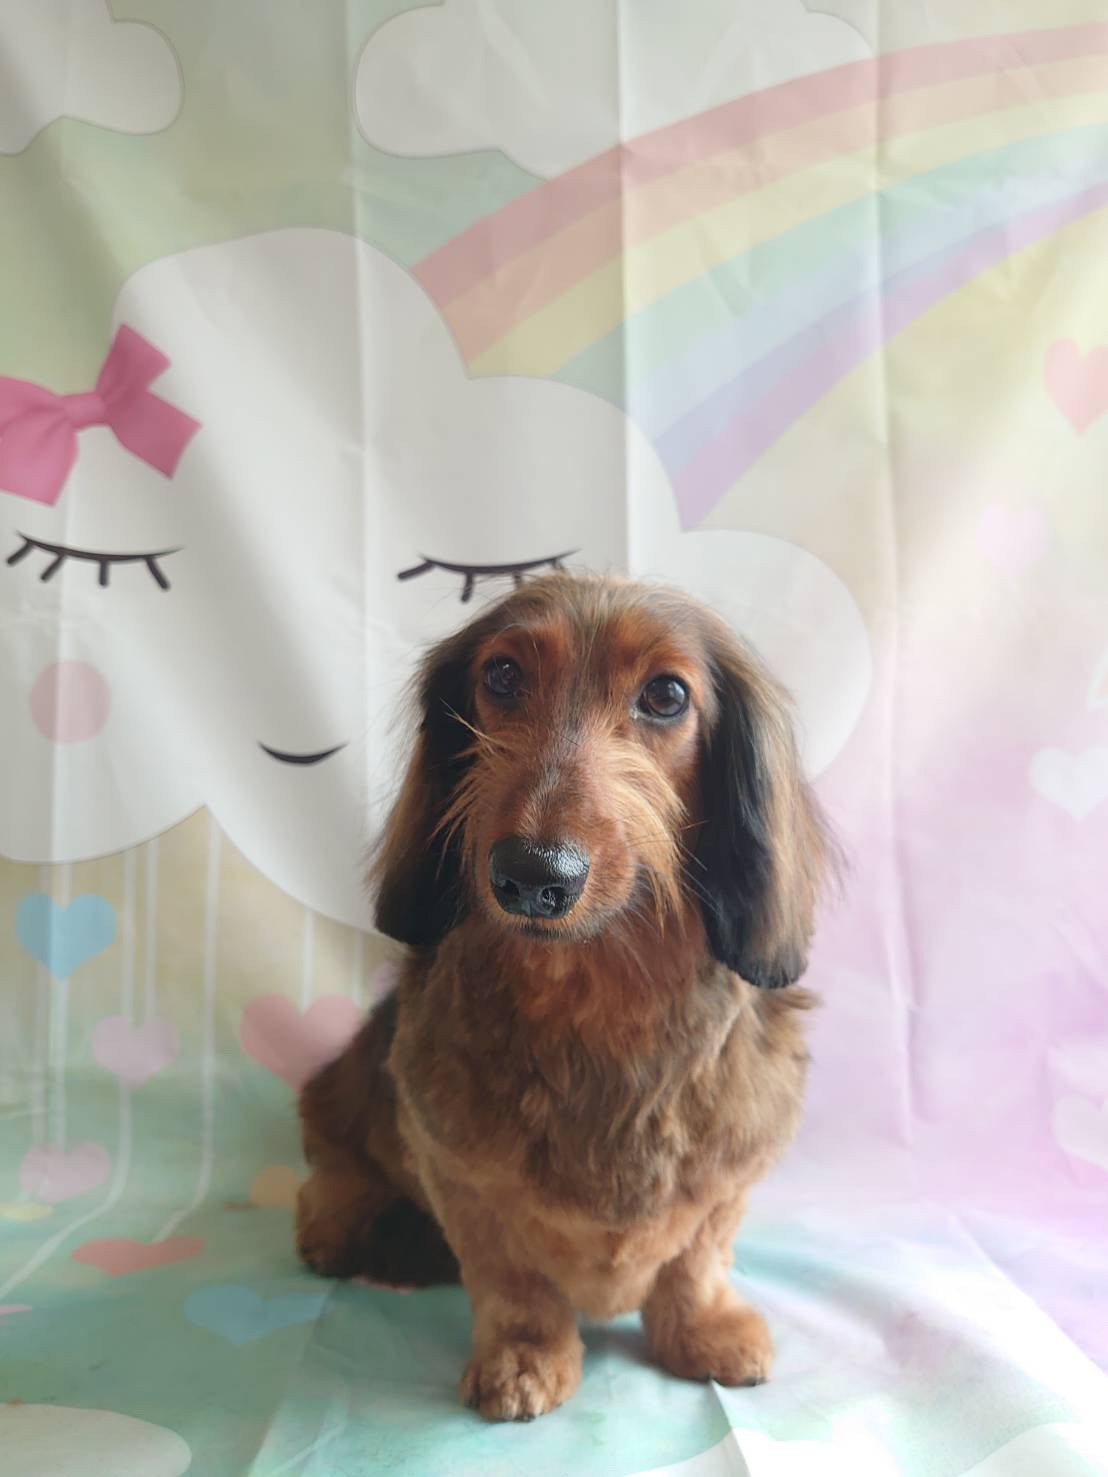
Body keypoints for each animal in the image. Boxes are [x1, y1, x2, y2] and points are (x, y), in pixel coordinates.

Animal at [296, 573, 832, 1421]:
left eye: (666, 694)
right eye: (502, 674)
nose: (532, 875)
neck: (594, 998)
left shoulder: (734, 1165)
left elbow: (698, 1254)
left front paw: (703, 1328)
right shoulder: (459, 1170)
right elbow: (512, 1277)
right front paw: (524, 1355)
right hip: (345, 1087)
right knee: (332, 1157)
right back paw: (336, 1224)